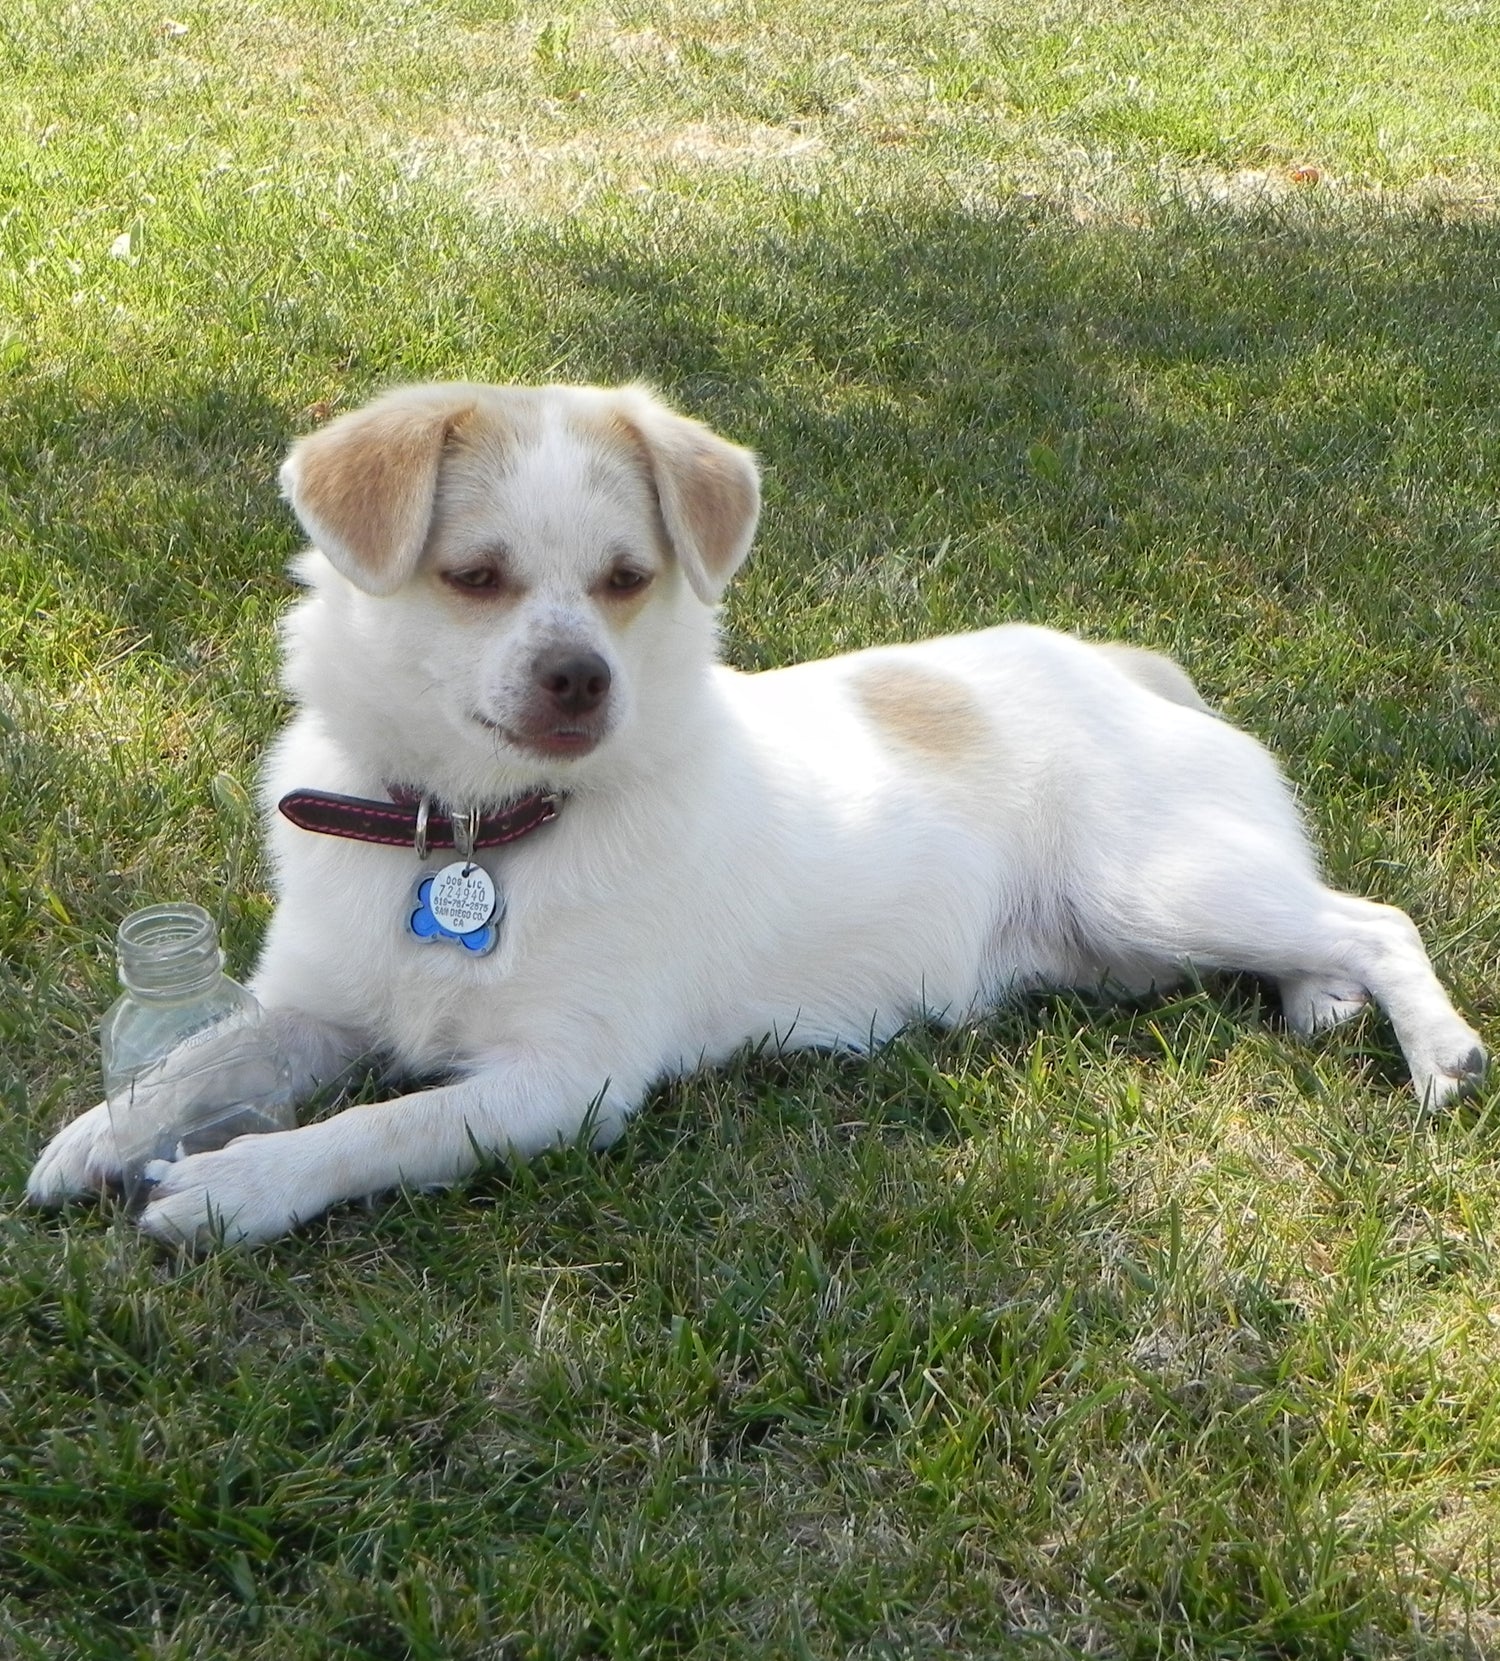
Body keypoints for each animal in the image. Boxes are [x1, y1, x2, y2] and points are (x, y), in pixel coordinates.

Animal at [26, 382, 1488, 1246]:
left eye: (627, 579)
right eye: (475, 577)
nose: (581, 678)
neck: (470, 839)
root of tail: (1130, 665)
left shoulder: (562, 1083)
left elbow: (372, 1129)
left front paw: (238, 1184)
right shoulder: (317, 1009)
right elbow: (197, 1062)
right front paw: (97, 1135)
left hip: (1155, 884)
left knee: (1372, 916)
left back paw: (1438, 1050)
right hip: (1136, 938)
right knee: (1318, 934)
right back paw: (1319, 1001)